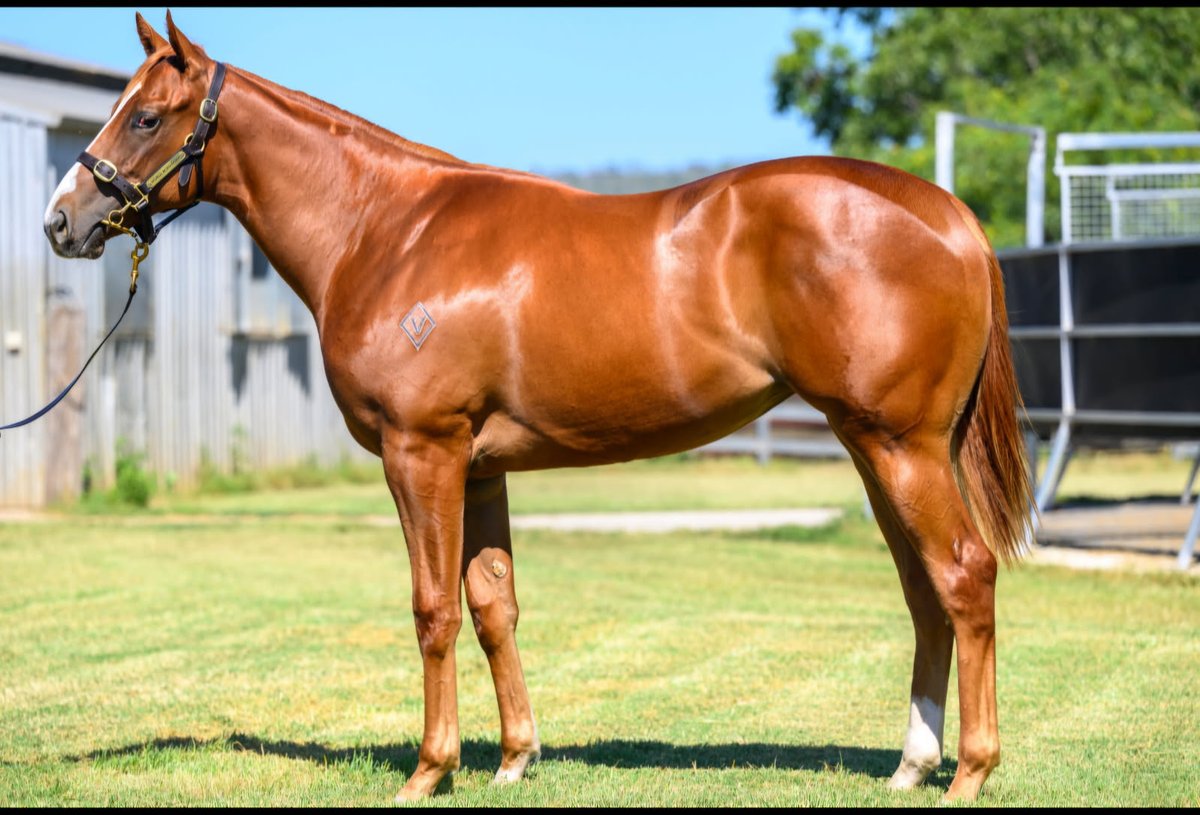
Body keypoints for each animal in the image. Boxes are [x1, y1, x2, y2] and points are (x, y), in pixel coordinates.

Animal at [42, 12, 1033, 802]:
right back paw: (911, 764)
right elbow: (492, 605)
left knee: (964, 575)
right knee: (924, 590)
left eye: (144, 114)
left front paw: (429, 769)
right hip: (877, 449)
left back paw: (972, 769)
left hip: (900, 445)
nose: (60, 220)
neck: (386, 229)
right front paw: (516, 757)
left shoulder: (422, 452)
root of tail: (950, 215)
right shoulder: (480, 467)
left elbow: (433, 609)